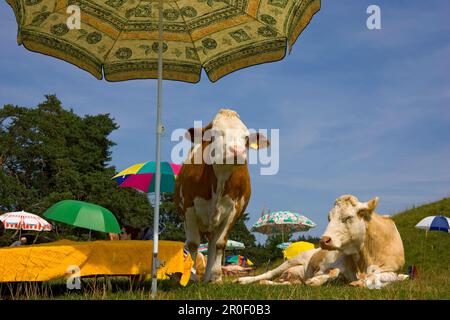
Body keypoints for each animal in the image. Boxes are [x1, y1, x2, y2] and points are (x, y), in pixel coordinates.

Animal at [174, 109, 268, 282]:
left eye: (246, 137)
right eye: (213, 133)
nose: (237, 151)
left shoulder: (233, 211)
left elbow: (219, 244)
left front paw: (217, 277)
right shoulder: (189, 207)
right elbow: (193, 244)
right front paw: (191, 276)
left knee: (211, 245)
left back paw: (208, 277)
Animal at [237, 195, 410, 288]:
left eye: (348, 217)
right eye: (329, 218)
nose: (324, 240)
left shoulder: (393, 270)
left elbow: (391, 278)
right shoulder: (337, 264)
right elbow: (333, 272)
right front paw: (318, 279)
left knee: (287, 282)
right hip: (292, 260)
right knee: (269, 273)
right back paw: (244, 280)